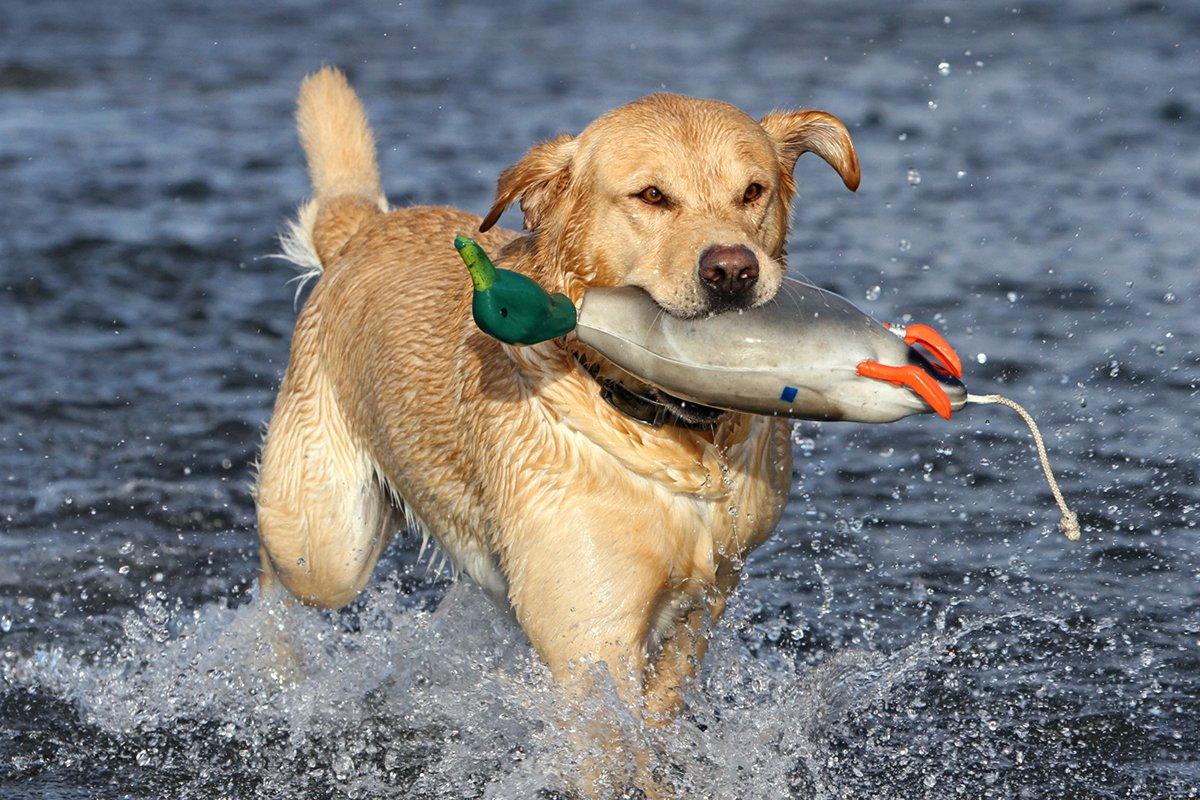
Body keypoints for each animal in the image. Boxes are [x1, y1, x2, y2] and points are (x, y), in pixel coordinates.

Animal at [253, 65, 859, 743]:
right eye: (652, 196)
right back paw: (271, 655)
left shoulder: (705, 600)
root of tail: (362, 230)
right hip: (326, 544)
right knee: (277, 569)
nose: (732, 270)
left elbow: (665, 706)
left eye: (754, 192)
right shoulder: (592, 643)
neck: (667, 429)